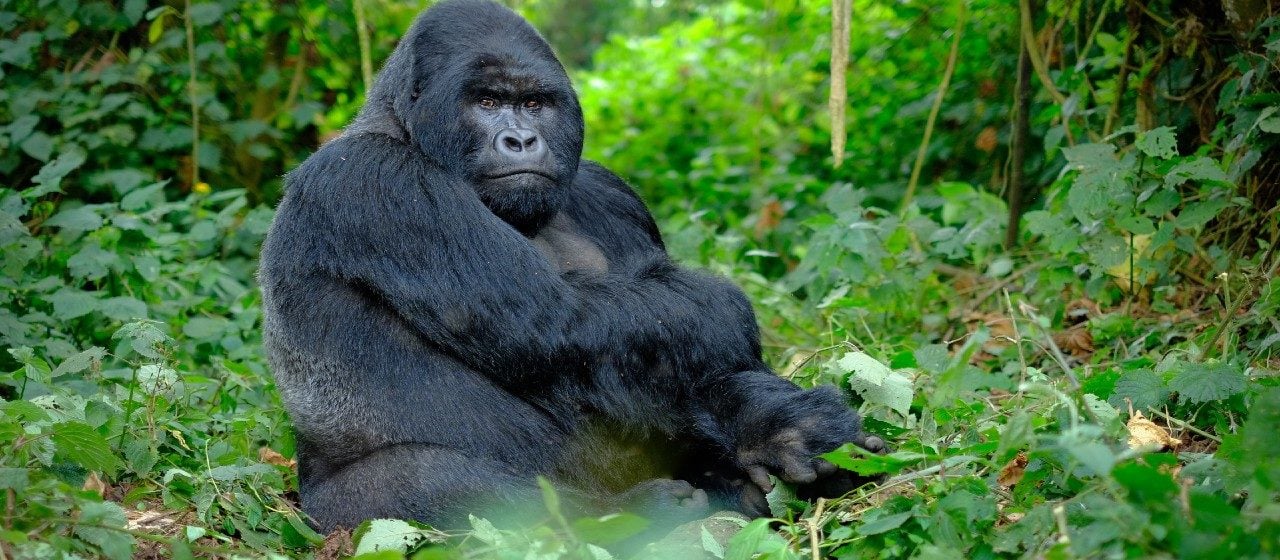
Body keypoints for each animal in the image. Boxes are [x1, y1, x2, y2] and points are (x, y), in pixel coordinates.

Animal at [259, 0, 880, 534]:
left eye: (535, 104)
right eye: (486, 103)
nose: (520, 139)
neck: (400, 127)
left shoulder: (611, 192)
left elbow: (663, 347)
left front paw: (778, 423)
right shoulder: (372, 180)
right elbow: (563, 322)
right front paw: (738, 330)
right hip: (329, 514)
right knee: (423, 480)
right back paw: (629, 515)